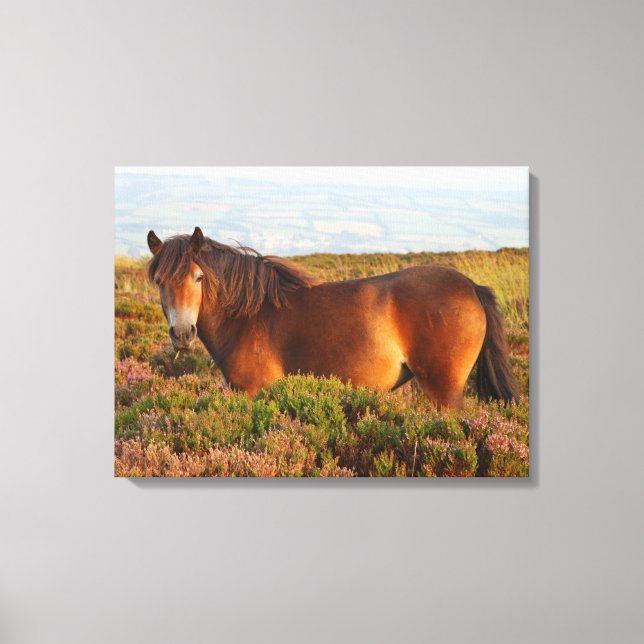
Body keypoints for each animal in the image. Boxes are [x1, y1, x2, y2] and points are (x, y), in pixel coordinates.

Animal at [146, 227, 519, 408]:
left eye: (198, 277)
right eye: (160, 281)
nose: (183, 333)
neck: (247, 317)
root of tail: (472, 287)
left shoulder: (254, 393)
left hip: (445, 391)